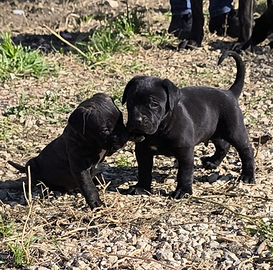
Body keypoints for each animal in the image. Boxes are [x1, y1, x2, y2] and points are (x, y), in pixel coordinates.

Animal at [121, 50, 253, 198]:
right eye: (130, 102)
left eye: (154, 104)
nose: (137, 119)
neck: (160, 129)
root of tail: (229, 93)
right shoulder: (143, 151)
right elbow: (144, 171)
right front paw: (141, 187)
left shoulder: (185, 152)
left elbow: (184, 173)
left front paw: (183, 191)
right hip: (213, 131)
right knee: (223, 145)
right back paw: (212, 162)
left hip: (234, 131)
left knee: (246, 150)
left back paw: (248, 176)